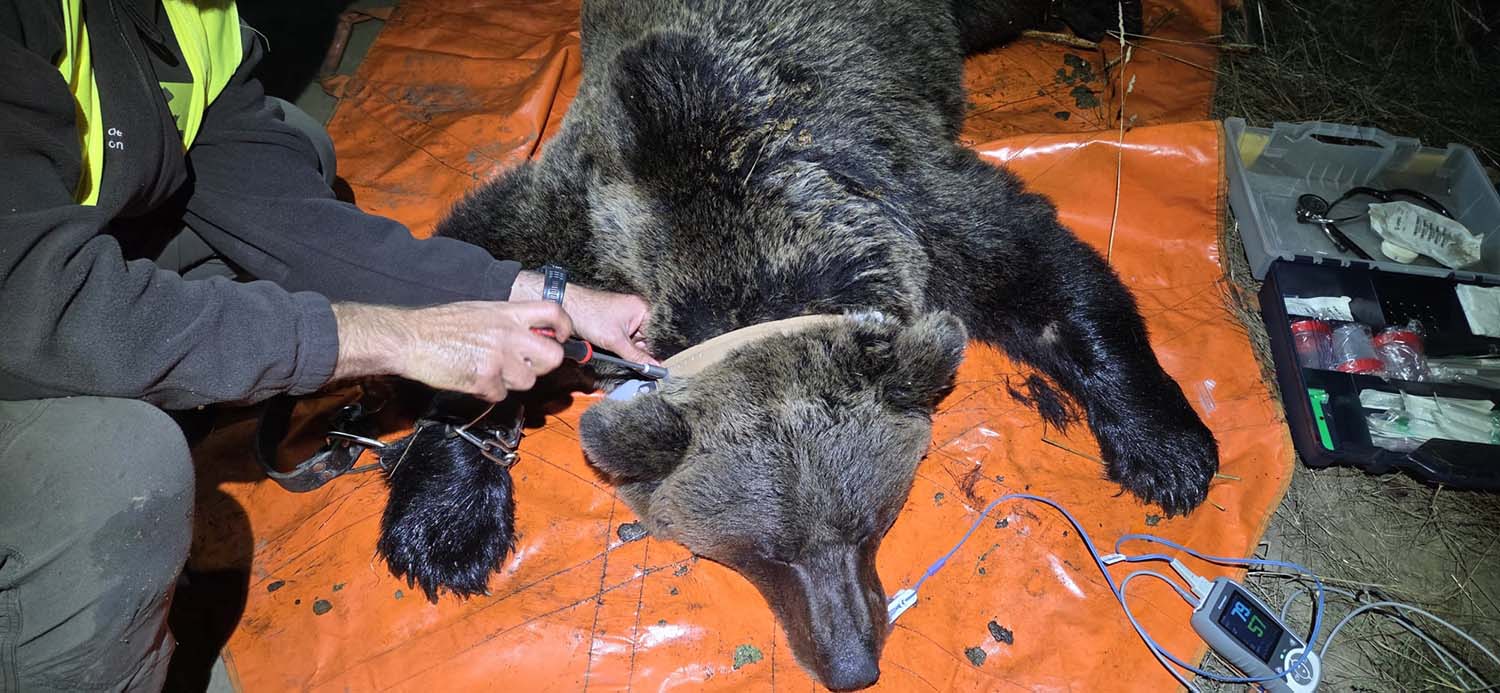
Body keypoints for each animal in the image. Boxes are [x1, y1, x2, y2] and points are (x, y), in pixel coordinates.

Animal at [375, 0, 1212, 689]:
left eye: (873, 525)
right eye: (762, 552)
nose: (851, 665)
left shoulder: (899, 195)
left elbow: (1041, 273)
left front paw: (1168, 449)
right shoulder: (591, 206)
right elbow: (471, 276)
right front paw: (444, 527)